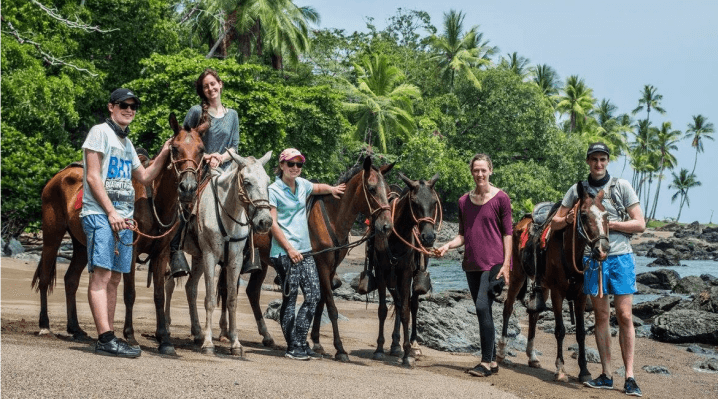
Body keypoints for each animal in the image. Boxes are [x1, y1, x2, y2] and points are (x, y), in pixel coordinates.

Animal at [32, 114, 207, 354]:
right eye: (175, 148)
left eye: (201, 149)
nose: (187, 188)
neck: (154, 201)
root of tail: (58, 176)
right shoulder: (131, 252)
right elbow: (130, 294)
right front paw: (130, 336)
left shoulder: (161, 254)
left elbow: (159, 296)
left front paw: (165, 340)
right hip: (52, 237)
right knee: (45, 278)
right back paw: (44, 325)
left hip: (82, 246)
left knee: (71, 280)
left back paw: (76, 329)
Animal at [184, 151, 274, 356]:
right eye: (247, 182)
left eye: (267, 181)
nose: (265, 221)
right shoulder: (210, 257)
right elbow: (210, 300)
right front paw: (209, 343)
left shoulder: (235, 261)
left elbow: (232, 299)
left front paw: (235, 343)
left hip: (198, 259)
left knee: (190, 287)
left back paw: (197, 332)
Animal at [374, 173, 442, 368]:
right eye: (414, 202)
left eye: (434, 202)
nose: (428, 237)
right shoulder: (381, 273)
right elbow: (383, 309)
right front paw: (380, 348)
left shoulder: (405, 274)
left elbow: (405, 310)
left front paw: (407, 354)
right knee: (397, 302)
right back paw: (395, 344)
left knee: (413, 304)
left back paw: (413, 345)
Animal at [498, 182, 612, 384]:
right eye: (584, 215)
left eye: (606, 215)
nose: (603, 249)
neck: (570, 251)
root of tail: (520, 223)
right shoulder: (558, 293)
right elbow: (560, 330)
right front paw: (560, 369)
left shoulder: (580, 295)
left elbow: (581, 333)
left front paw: (584, 371)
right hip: (517, 276)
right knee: (508, 307)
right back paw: (502, 351)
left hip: (542, 286)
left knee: (533, 314)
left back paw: (532, 356)